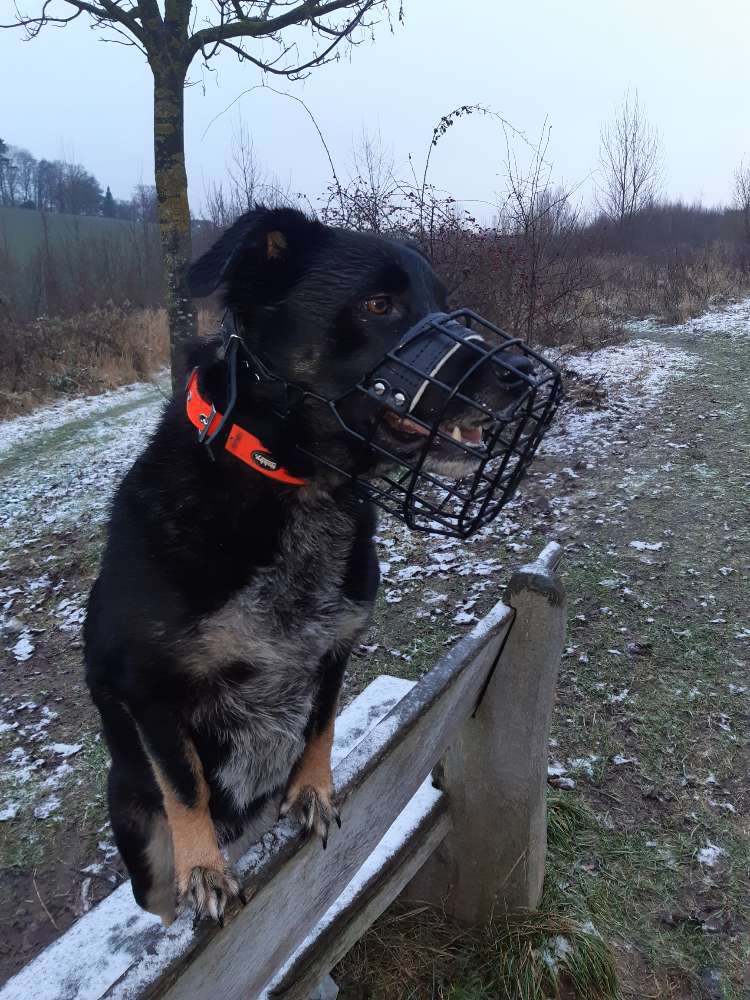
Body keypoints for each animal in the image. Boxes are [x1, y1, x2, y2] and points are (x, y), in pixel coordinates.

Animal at [85, 205, 536, 928]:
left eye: (442, 303)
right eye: (380, 305)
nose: (520, 372)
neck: (293, 485)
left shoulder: (334, 646)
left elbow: (320, 726)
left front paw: (312, 791)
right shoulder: (149, 689)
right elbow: (185, 784)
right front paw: (204, 867)